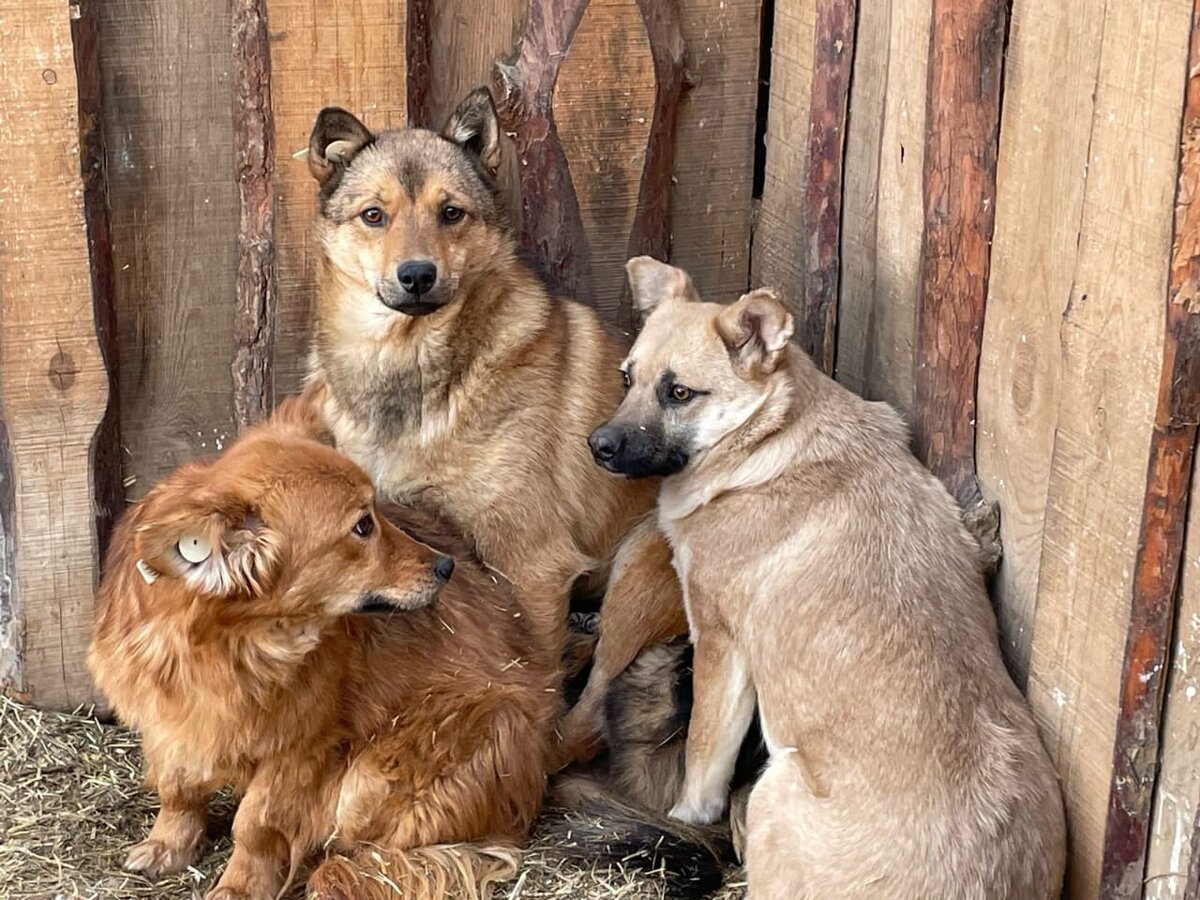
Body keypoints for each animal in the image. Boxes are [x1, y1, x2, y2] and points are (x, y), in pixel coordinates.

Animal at [87, 398, 552, 900]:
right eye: (363, 526)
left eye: (377, 513)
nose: (447, 565)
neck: (228, 645)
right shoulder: (167, 724)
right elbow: (178, 791)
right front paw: (169, 844)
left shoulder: (299, 750)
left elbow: (255, 825)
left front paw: (241, 885)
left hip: (387, 768)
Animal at [298, 86, 686, 763]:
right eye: (374, 216)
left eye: (451, 213)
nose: (417, 275)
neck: (416, 368)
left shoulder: (533, 563)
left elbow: (532, 664)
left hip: (639, 571)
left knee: (590, 714)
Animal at [585, 255, 1065, 900]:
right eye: (626, 378)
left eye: (679, 393)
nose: (598, 446)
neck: (768, 436)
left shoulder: (719, 642)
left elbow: (703, 760)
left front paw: (685, 816)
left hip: (773, 787)